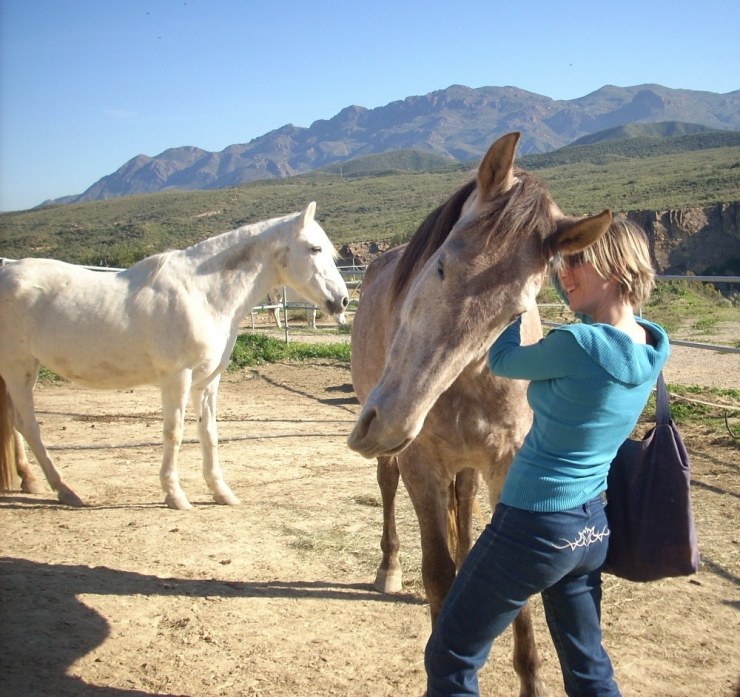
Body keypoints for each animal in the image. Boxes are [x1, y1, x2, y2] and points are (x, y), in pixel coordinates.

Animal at [0, 204, 348, 508]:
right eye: (315, 249)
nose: (342, 300)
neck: (203, 294)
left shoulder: (207, 382)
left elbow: (209, 432)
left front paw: (221, 492)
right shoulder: (177, 378)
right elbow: (174, 432)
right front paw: (175, 495)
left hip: (18, 371)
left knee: (15, 424)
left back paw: (30, 480)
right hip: (18, 368)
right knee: (29, 425)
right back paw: (64, 489)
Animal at [346, 132, 608, 696]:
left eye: (515, 312)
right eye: (441, 265)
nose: (394, 422)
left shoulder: (506, 467)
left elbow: (515, 594)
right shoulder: (421, 466)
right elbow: (438, 574)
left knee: (462, 504)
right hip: (394, 450)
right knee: (387, 487)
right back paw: (388, 568)